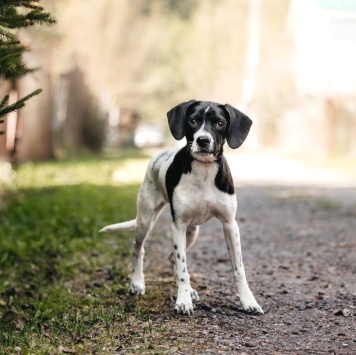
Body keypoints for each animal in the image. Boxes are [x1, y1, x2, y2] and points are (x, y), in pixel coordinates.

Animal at [100, 101, 264, 318]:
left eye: (220, 123)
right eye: (192, 120)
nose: (203, 140)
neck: (204, 171)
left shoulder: (230, 225)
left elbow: (239, 269)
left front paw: (248, 301)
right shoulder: (177, 226)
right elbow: (182, 268)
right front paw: (183, 302)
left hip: (192, 232)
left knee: (172, 258)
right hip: (146, 219)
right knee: (139, 250)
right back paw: (137, 283)